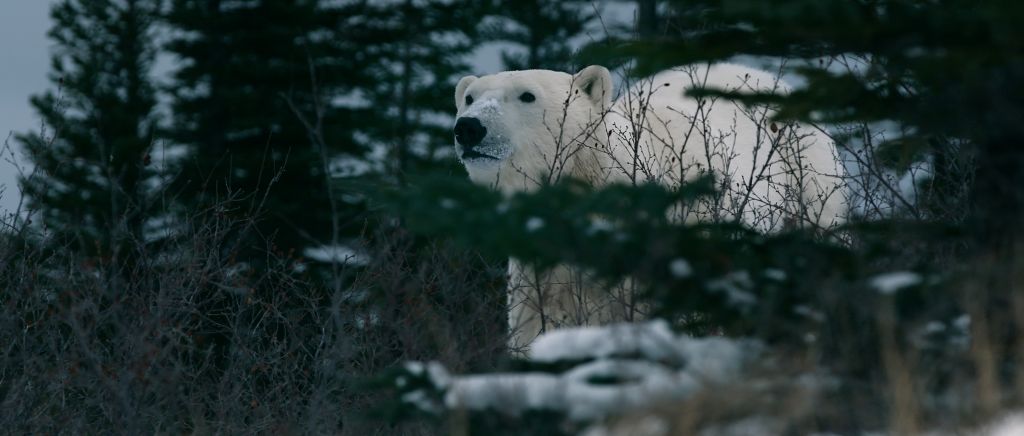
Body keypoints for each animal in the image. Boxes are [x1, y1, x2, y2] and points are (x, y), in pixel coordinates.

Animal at [452, 63, 845, 351]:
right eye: (469, 97)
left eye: (527, 95)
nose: (468, 127)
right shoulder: (542, 267)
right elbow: (538, 321)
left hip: (808, 181)